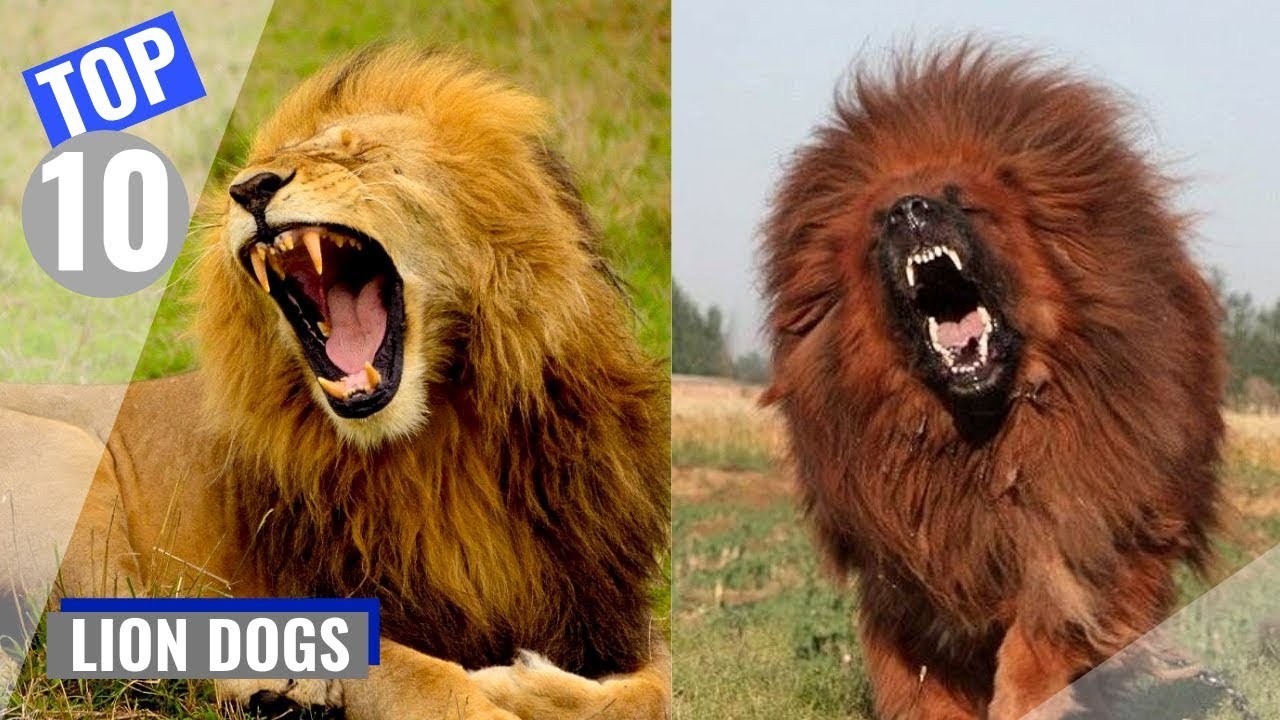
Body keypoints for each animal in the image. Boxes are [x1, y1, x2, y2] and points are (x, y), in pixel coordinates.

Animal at [3, 46, 670, 719]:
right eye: (252, 171)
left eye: (359, 153)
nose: (249, 189)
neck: (446, 442)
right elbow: (437, 683)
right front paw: (497, 687)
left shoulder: (607, 610)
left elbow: (653, 690)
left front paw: (531, 683)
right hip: (69, 457)